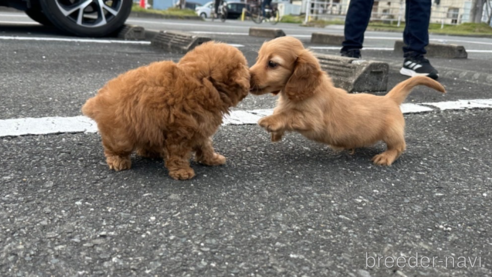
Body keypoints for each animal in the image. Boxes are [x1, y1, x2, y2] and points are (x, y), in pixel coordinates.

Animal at [82, 41, 250, 179]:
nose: (251, 79)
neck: (202, 82)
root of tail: (97, 100)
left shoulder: (200, 127)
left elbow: (205, 145)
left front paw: (212, 159)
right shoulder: (180, 132)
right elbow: (178, 155)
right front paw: (182, 171)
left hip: (145, 126)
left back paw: (152, 152)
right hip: (121, 134)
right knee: (114, 148)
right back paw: (118, 160)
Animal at [250, 37, 446, 166]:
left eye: (272, 63)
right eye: (258, 58)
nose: (248, 76)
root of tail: (389, 98)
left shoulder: (313, 120)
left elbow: (288, 114)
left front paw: (269, 121)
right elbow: (281, 112)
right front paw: (276, 133)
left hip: (392, 132)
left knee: (399, 146)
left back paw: (385, 156)